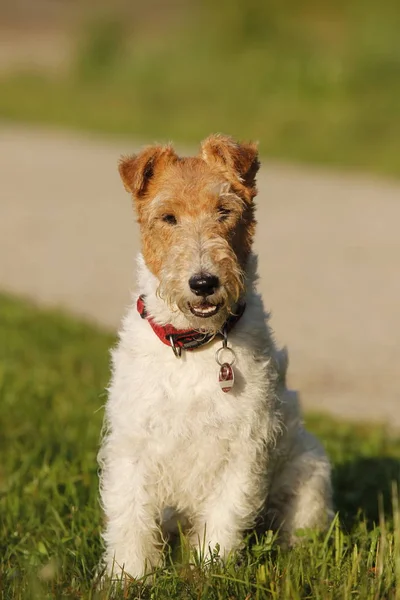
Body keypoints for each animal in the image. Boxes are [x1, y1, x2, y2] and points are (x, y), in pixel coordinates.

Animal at [97, 134, 334, 580]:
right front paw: (129, 578)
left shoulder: (243, 447)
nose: (204, 282)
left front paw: (206, 575)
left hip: (308, 472)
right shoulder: (133, 442)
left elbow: (223, 523)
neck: (193, 345)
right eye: (168, 217)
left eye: (224, 210)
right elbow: (130, 520)